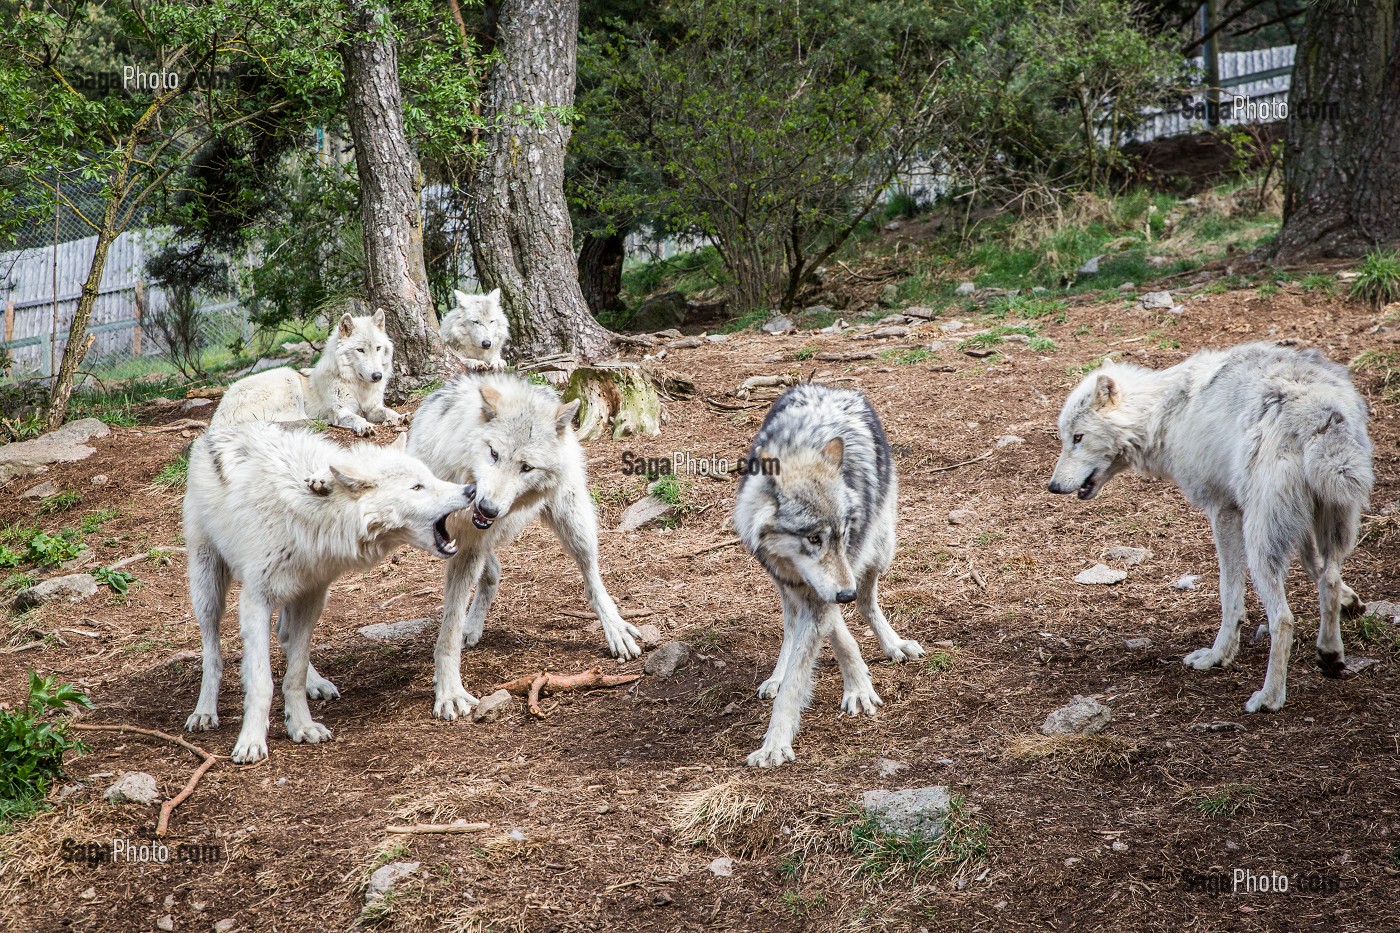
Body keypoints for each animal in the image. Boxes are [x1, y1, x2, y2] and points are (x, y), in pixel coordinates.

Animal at [184, 417, 476, 762]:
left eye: (431, 477)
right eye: (417, 487)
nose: (471, 489)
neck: (314, 513)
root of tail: (212, 432)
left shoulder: (312, 596)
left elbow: (295, 673)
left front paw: (301, 725)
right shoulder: (255, 600)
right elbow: (260, 681)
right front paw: (252, 741)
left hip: (299, 597)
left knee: (284, 634)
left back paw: (317, 683)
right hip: (208, 588)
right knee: (211, 653)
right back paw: (204, 712)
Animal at [210, 306, 403, 434]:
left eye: (378, 348)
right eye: (360, 350)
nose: (377, 376)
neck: (357, 385)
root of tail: (219, 413)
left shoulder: (373, 407)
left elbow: (387, 411)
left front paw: (400, 417)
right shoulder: (340, 410)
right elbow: (355, 417)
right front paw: (364, 426)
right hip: (288, 378)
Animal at [408, 372, 641, 717]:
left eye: (526, 467)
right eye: (493, 454)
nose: (488, 508)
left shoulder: (472, 543)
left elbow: (449, 627)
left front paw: (448, 691)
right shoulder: (458, 539)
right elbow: (452, 621)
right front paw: (450, 689)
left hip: (574, 524)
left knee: (592, 579)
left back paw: (616, 630)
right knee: (493, 571)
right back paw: (472, 627)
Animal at [733, 381, 929, 767]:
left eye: (842, 533)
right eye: (813, 538)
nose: (845, 595)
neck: (802, 445)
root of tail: (830, 386)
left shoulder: (832, 584)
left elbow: (801, 676)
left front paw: (775, 743)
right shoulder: (805, 587)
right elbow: (831, 642)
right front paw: (856, 683)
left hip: (879, 551)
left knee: (868, 603)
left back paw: (893, 644)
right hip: (789, 587)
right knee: (792, 626)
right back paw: (777, 674)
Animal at [1052, 337, 1366, 708]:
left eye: (1078, 437)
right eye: (1066, 437)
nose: (1053, 486)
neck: (1165, 412)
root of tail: (1319, 414)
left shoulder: (1223, 510)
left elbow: (1229, 595)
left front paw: (1218, 656)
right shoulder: (1300, 527)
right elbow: (1317, 569)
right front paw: (1350, 602)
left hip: (1260, 542)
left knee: (1283, 618)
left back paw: (1269, 697)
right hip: (1328, 521)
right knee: (1329, 578)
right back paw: (1330, 654)